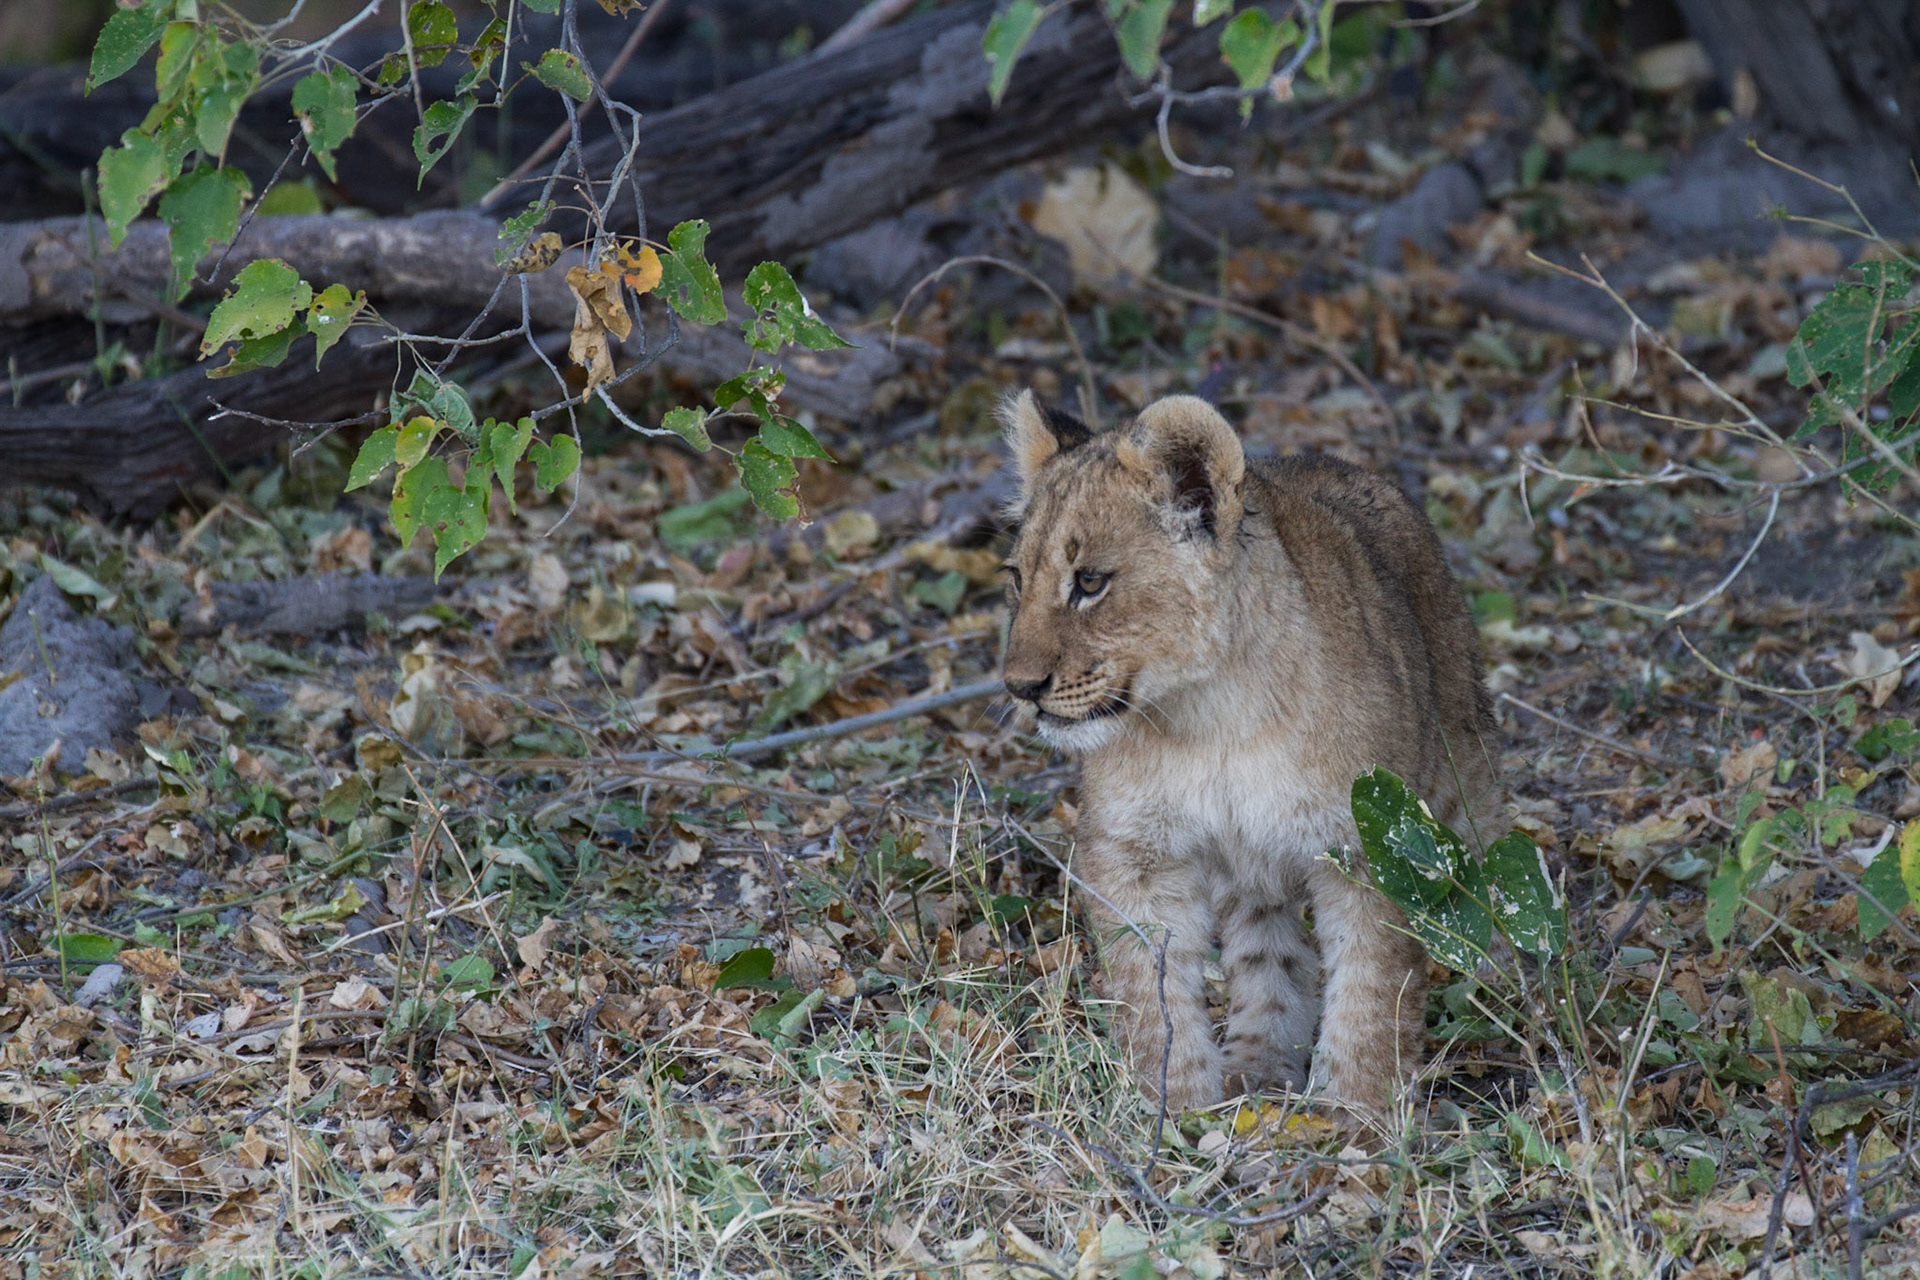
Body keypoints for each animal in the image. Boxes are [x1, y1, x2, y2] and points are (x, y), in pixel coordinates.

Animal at [999, 391, 1496, 1116]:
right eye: (1017, 579)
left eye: (1090, 581)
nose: (1020, 688)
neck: (1210, 717)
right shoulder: (1130, 851)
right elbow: (1150, 994)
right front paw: (1174, 1112)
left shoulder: (1370, 844)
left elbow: (1371, 995)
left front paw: (1358, 1121)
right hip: (1250, 864)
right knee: (1271, 954)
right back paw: (1257, 1065)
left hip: (1460, 769)